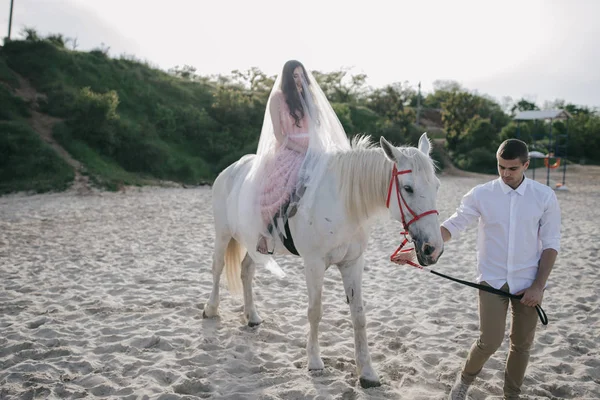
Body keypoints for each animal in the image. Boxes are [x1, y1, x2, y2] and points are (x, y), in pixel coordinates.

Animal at [204, 134, 442, 388]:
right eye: (408, 188)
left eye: (437, 186)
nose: (433, 249)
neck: (342, 204)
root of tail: (231, 169)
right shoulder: (314, 265)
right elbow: (315, 312)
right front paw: (315, 361)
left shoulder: (353, 264)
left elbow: (359, 316)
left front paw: (367, 372)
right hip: (223, 234)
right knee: (217, 267)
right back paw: (210, 309)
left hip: (255, 244)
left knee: (246, 270)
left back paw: (252, 316)